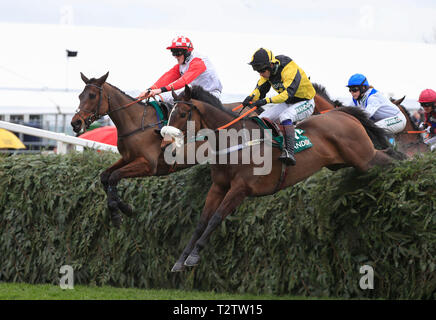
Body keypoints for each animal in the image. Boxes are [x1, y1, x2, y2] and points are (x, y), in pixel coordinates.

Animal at [160, 84, 406, 270]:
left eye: (182, 114)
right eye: (170, 114)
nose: (165, 144)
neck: (236, 142)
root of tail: (342, 113)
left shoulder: (240, 189)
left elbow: (216, 218)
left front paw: (193, 257)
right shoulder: (219, 186)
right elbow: (202, 221)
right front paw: (181, 260)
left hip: (365, 158)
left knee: (390, 158)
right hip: (345, 162)